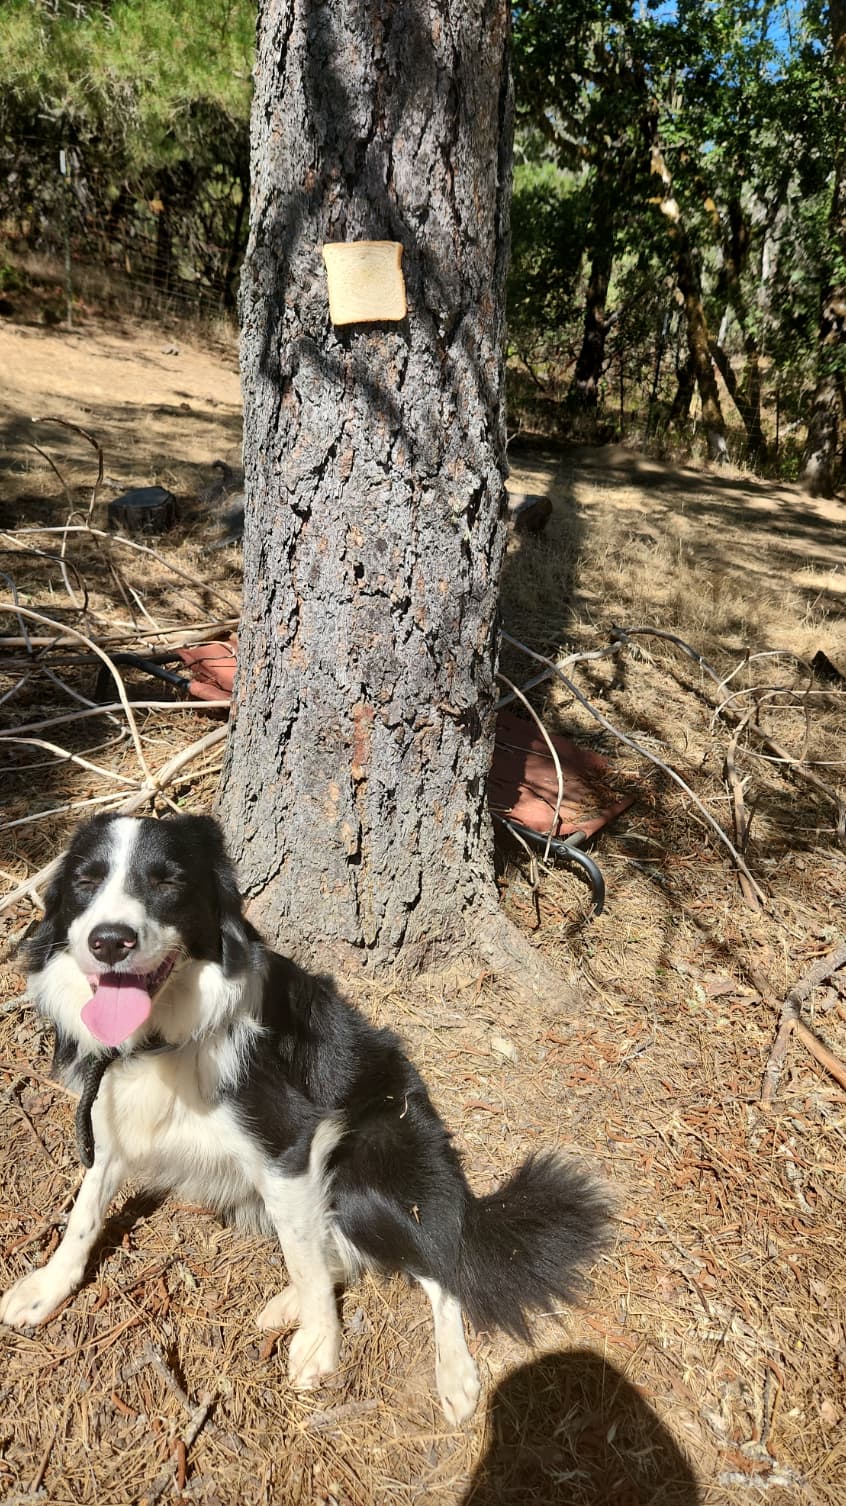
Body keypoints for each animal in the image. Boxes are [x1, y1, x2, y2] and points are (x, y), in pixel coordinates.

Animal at [0, 819, 605, 1415]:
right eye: (85, 881)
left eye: (167, 882)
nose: (110, 941)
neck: (157, 1041)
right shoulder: (109, 1119)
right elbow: (85, 1210)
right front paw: (47, 1286)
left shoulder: (289, 1144)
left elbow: (304, 1258)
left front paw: (319, 1344)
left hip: (369, 1170)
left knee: (438, 1265)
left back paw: (454, 1374)